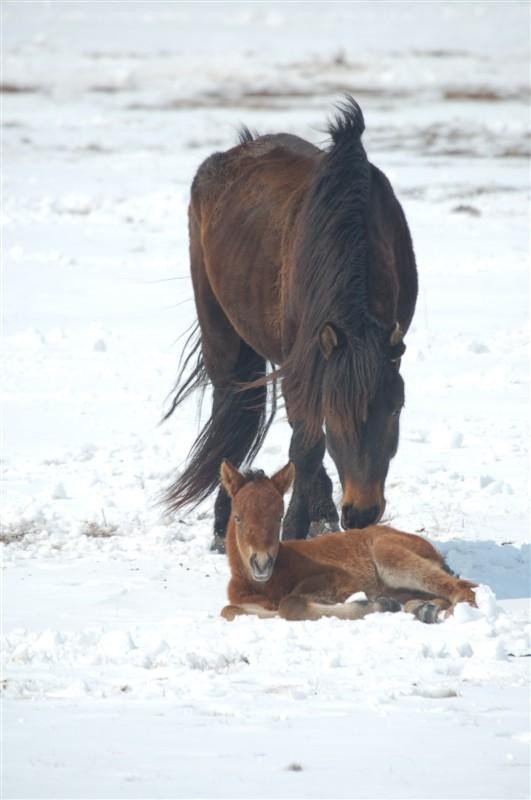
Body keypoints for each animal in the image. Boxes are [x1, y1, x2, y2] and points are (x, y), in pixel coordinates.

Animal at [166, 97, 420, 552]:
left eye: (396, 408)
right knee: (229, 413)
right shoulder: (302, 364)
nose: (362, 513)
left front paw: (318, 520)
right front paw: (295, 528)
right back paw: (222, 524)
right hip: (221, 333)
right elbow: (306, 445)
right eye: (338, 412)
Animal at [220, 462, 478, 624]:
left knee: (462, 588)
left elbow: (290, 604)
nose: (262, 563)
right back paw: (423, 609)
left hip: (389, 555)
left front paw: (380, 604)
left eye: (279, 517)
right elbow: (229, 610)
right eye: (238, 518)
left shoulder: (340, 582)